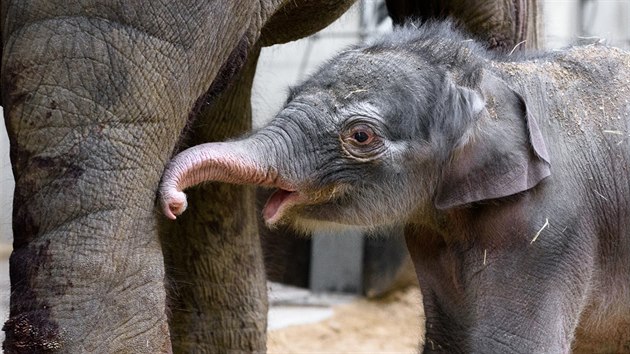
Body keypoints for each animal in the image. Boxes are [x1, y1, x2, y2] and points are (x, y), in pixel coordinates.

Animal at [162, 22, 630, 354]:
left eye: (361, 136)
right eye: (290, 93)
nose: (174, 203)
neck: (490, 76)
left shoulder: (547, 228)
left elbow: (511, 345)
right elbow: (447, 339)